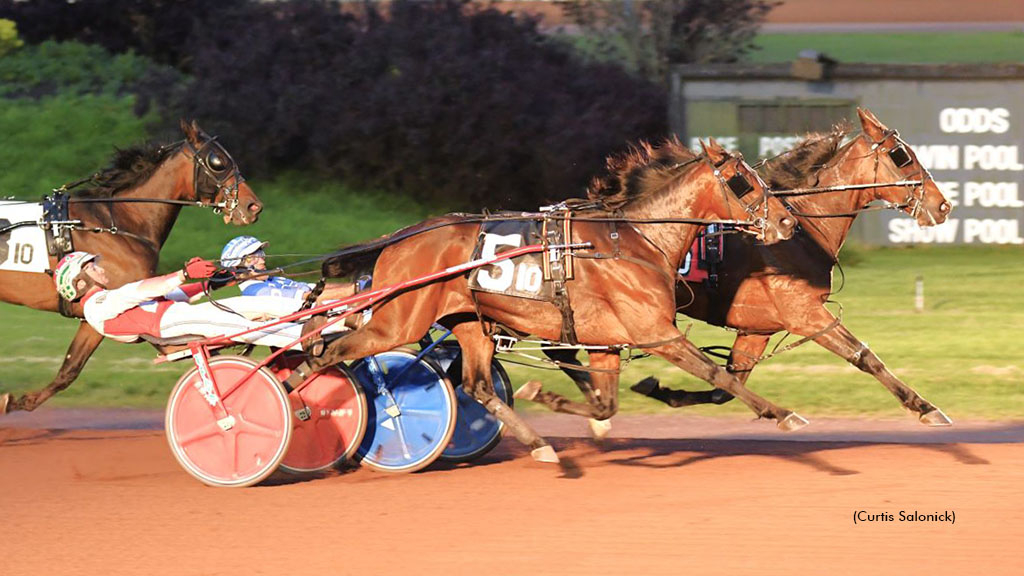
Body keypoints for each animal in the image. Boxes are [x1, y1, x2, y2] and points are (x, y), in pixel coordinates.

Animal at [2, 118, 264, 412]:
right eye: (217, 161)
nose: (253, 206)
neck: (116, 223)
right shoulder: (115, 307)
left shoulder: (96, 316)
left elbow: (70, 369)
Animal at [313, 140, 798, 461]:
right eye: (742, 182)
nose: (788, 221)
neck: (636, 239)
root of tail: (402, 237)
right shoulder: (657, 333)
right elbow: (720, 375)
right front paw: (782, 412)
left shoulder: (605, 342)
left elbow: (604, 402)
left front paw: (554, 399)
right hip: (398, 322)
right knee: (328, 353)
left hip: (470, 323)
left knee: (477, 385)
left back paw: (540, 444)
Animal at [544, 107, 950, 424]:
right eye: (901, 155)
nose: (943, 205)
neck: (801, 227)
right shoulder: (805, 313)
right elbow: (865, 356)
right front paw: (925, 407)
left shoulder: (757, 329)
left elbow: (727, 386)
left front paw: (662, 389)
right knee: (559, 350)